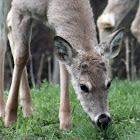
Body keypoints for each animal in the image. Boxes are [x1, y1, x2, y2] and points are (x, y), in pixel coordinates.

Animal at [0, 0, 124, 130]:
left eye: (109, 83)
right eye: (83, 86)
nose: (103, 119)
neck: (49, 5)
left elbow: (63, 65)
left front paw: (65, 122)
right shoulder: (20, 7)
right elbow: (22, 55)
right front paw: (10, 119)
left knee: (8, 25)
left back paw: (28, 111)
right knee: (3, 38)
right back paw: (4, 112)